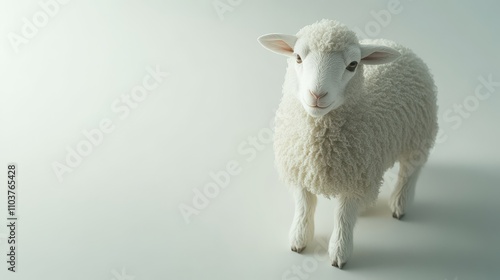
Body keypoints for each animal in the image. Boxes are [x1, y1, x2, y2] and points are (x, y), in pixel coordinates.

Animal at [258, 18, 438, 268]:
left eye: (353, 65)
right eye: (297, 57)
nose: (317, 94)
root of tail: (400, 46)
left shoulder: (357, 179)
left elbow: (343, 216)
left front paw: (339, 252)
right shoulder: (300, 169)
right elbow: (304, 205)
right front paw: (299, 239)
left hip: (418, 137)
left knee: (410, 171)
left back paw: (400, 204)